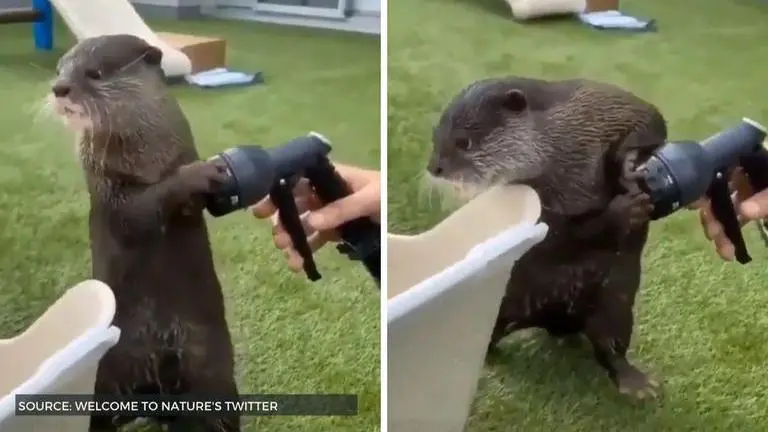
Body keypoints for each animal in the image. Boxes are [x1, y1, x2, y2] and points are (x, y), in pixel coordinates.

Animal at [50, 35, 240, 431]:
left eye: (94, 72)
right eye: (60, 69)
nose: (59, 88)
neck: (147, 159)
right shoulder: (108, 188)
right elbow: (138, 214)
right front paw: (196, 176)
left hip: (212, 370)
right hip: (107, 373)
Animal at [426, 76, 667, 399]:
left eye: (464, 142)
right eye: (435, 137)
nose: (434, 168)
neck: (565, 149)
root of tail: (557, 320)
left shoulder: (610, 103)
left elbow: (652, 121)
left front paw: (629, 165)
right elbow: (558, 232)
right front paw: (622, 211)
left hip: (615, 301)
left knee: (610, 345)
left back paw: (637, 384)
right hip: (508, 298)